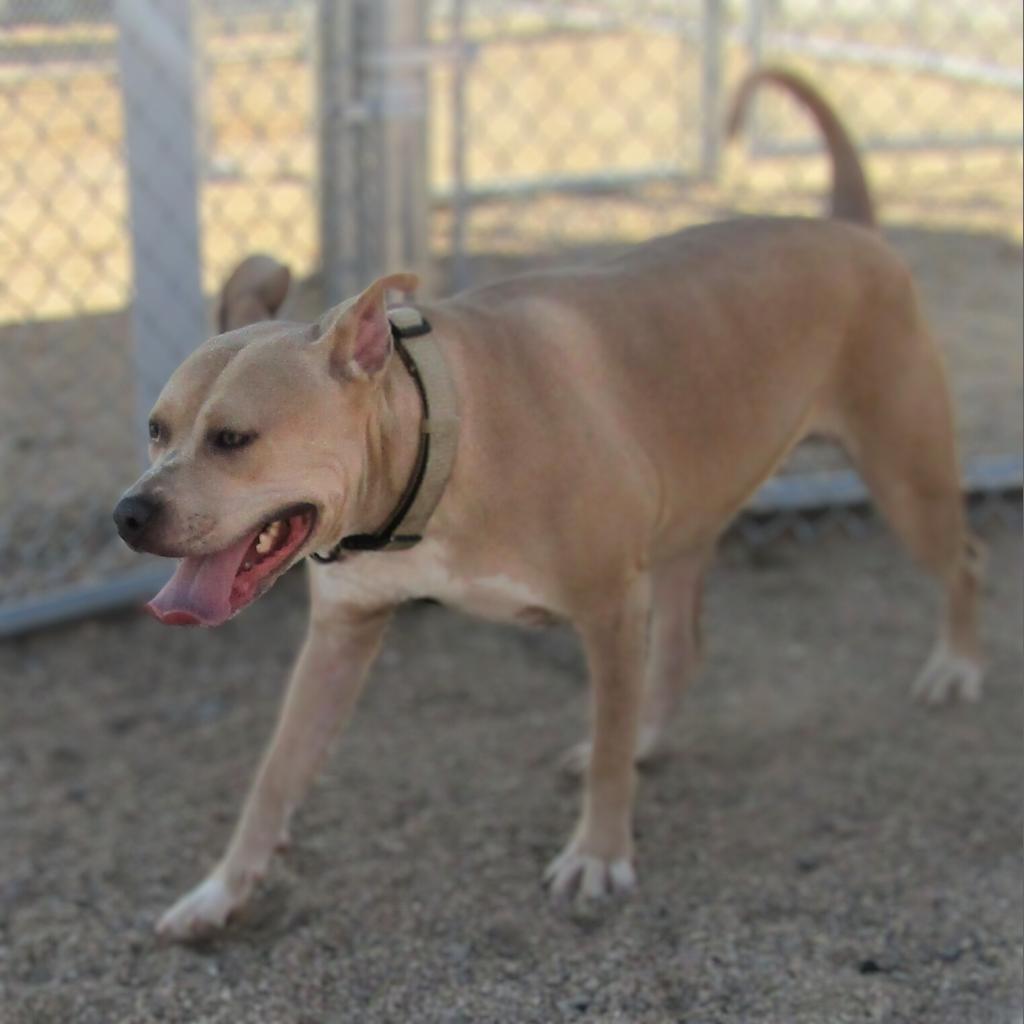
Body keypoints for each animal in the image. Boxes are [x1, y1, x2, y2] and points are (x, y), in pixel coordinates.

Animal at [114, 68, 983, 937]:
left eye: (234, 439)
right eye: (155, 429)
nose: (130, 515)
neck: (442, 439)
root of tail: (850, 230)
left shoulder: (610, 609)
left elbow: (604, 751)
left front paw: (598, 854)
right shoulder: (341, 634)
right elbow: (275, 775)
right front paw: (221, 890)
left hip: (905, 477)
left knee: (963, 562)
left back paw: (956, 667)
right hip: (688, 521)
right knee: (679, 653)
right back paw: (651, 736)